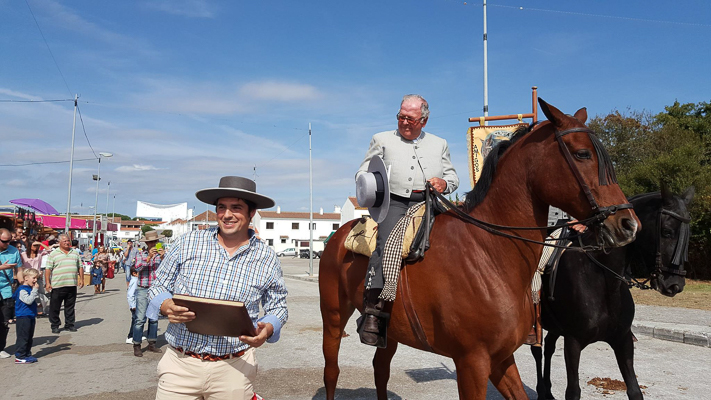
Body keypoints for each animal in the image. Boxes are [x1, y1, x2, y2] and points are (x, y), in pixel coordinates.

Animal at [320, 98, 644, 398]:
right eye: (582, 153)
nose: (628, 224)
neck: (488, 253)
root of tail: (341, 234)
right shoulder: (471, 362)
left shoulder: (501, 358)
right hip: (333, 317)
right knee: (331, 371)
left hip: (392, 333)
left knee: (381, 369)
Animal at [536, 185, 696, 400]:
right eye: (667, 232)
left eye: (688, 233)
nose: (675, 285)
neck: (604, 280)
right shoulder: (573, 342)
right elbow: (573, 392)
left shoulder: (623, 340)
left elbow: (635, 390)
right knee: (537, 351)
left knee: (549, 347)